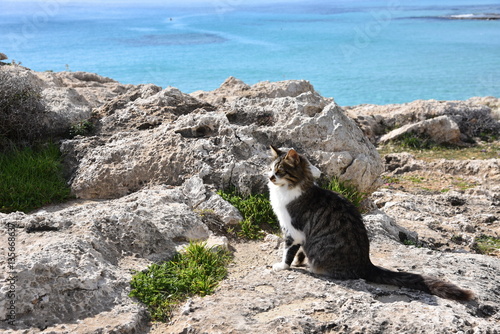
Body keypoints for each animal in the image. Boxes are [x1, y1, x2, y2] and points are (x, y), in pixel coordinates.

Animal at [268, 145, 474, 302]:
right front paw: (298, 261)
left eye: (280, 171)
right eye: (270, 169)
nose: (270, 177)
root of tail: (366, 264)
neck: (289, 190)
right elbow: (300, 252)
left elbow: (288, 252)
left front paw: (283, 266)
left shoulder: (294, 231)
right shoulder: (300, 235)